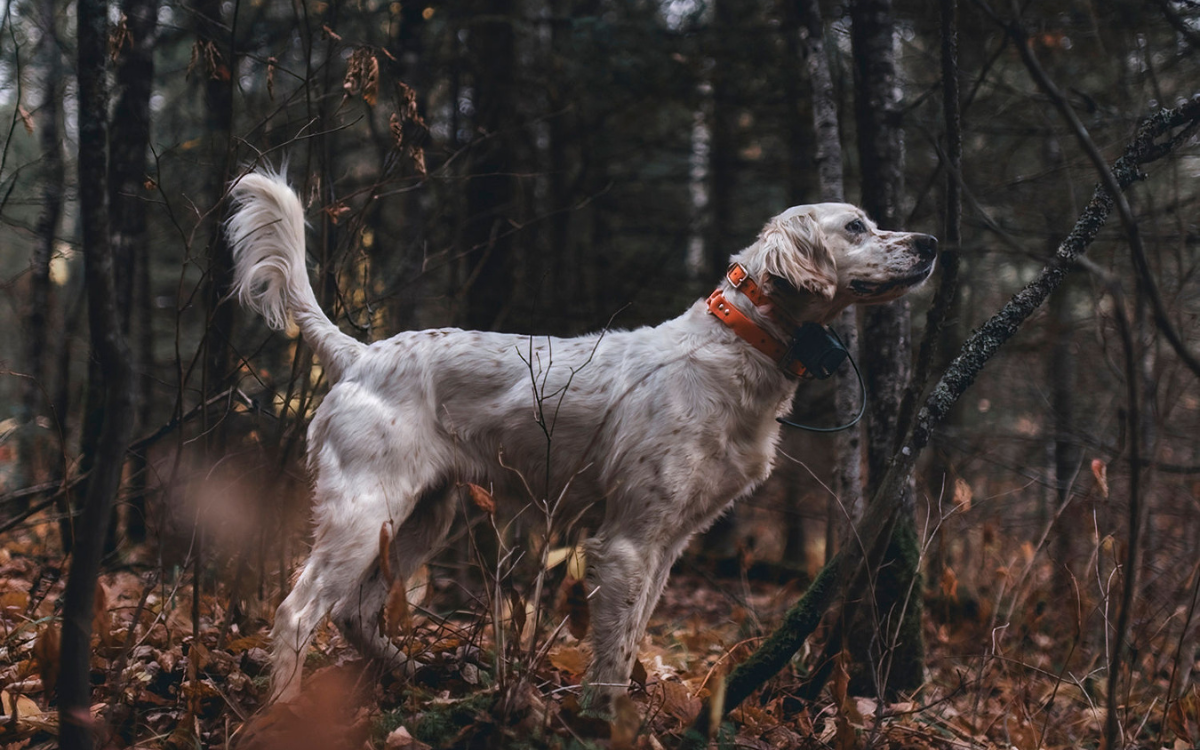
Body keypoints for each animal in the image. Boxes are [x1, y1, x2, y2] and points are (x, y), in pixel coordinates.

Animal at [225, 169, 936, 700]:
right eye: (855, 226)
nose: (930, 242)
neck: (738, 345)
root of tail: (360, 355)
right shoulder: (627, 542)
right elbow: (614, 657)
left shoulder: (668, 543)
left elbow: (633, 634)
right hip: (365, 508)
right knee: (297, 612)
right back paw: (286, 708)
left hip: (428, 514)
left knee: (355, 611)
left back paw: (418, 677)